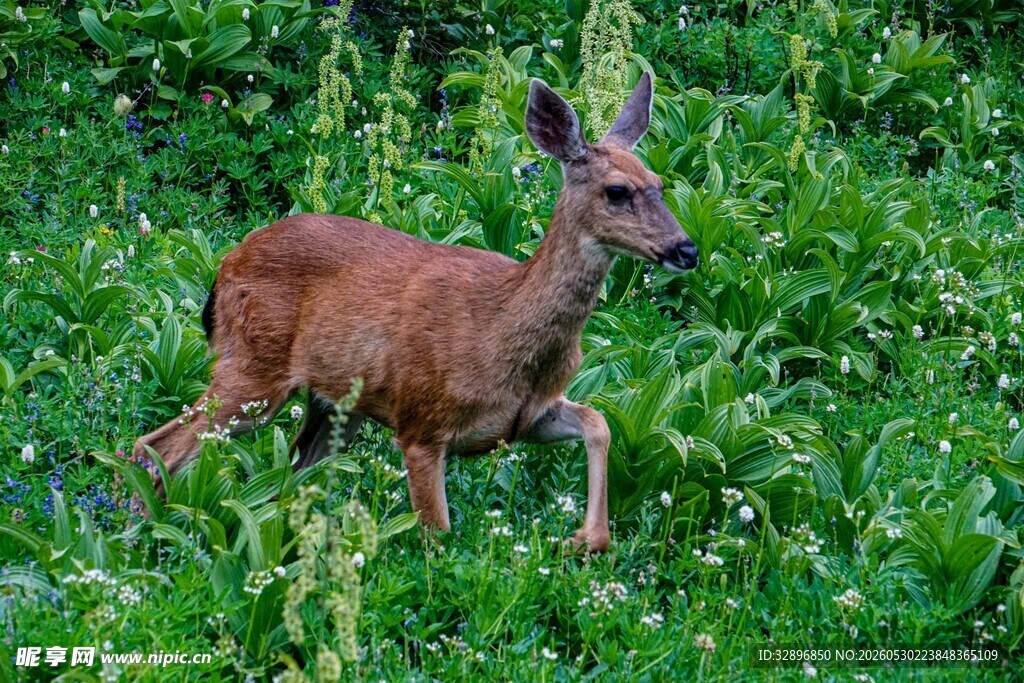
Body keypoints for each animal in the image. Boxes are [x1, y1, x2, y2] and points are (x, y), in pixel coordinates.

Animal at [132, 71, 698, 552]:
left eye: (660, 184)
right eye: (617, 191)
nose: (687, 249)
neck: (504, 327)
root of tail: (224, 266)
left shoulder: (526, 416)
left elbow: (598, 422)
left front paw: (586, 538)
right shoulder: (421, 422)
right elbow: (438, 535)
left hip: (333, 404)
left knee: (289, 475)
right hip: (253, 370)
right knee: (155, 445)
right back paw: (143, 536)